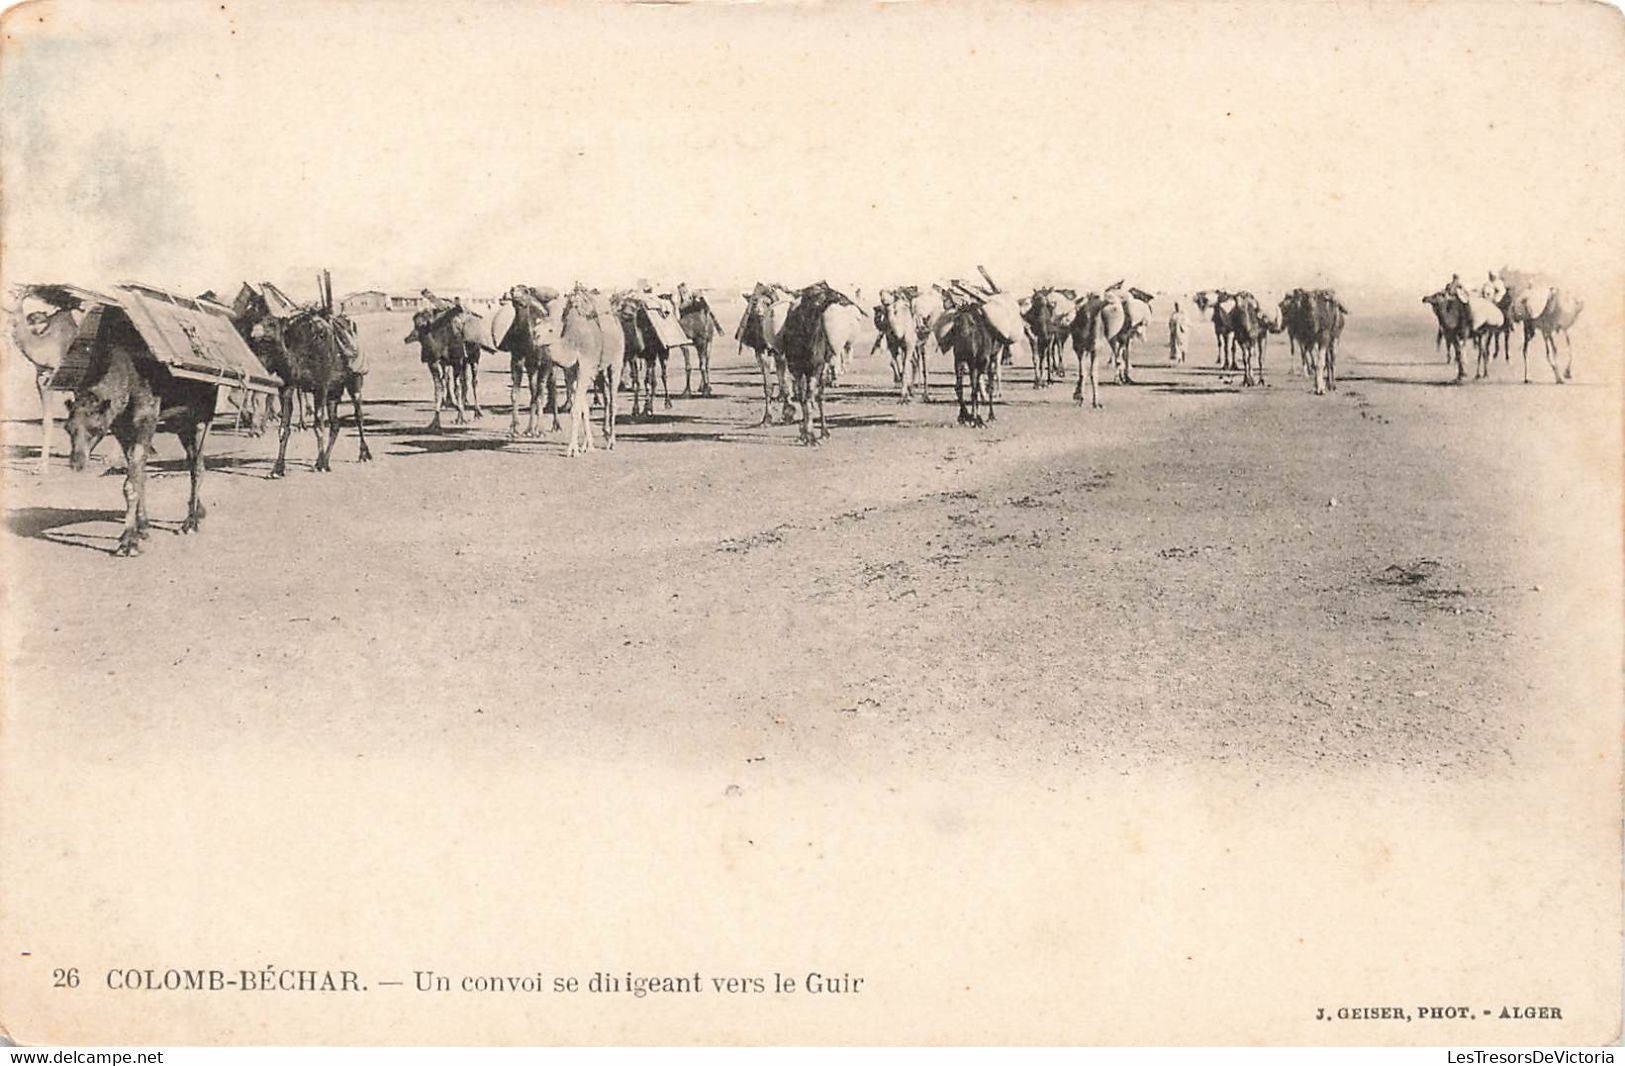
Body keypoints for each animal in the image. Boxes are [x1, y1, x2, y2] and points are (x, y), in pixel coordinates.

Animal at [63, 308, 217, 559]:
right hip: (180, 420)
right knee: (194, 460)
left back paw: (190, 523)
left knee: (197, 465)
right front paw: (142, 528)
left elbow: (131, 483)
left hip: (201, 416)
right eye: (67, 429)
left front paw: (128, 542)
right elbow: (138, 475)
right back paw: (198, 512)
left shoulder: (147, 419)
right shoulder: (121, 428)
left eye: (96, 429)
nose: (77, 463)